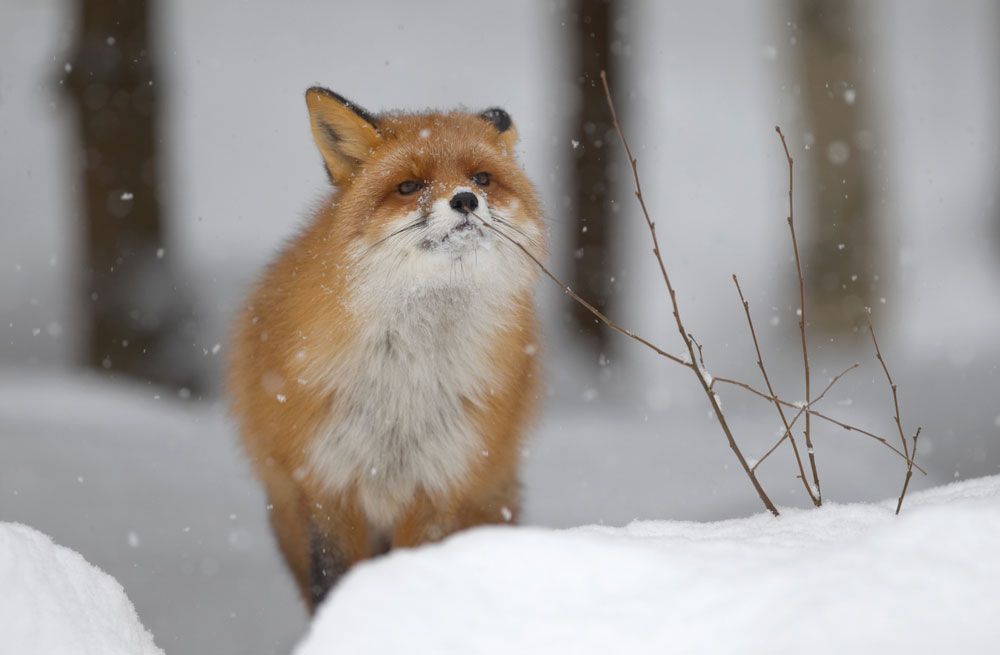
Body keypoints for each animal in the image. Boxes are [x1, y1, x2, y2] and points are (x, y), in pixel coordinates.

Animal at [228, 86, 548, 608]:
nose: (466, 200)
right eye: (409, 186)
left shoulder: (438, 485)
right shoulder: (328, 486)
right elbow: (333, 583)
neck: (405, 380)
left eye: (482, 178)